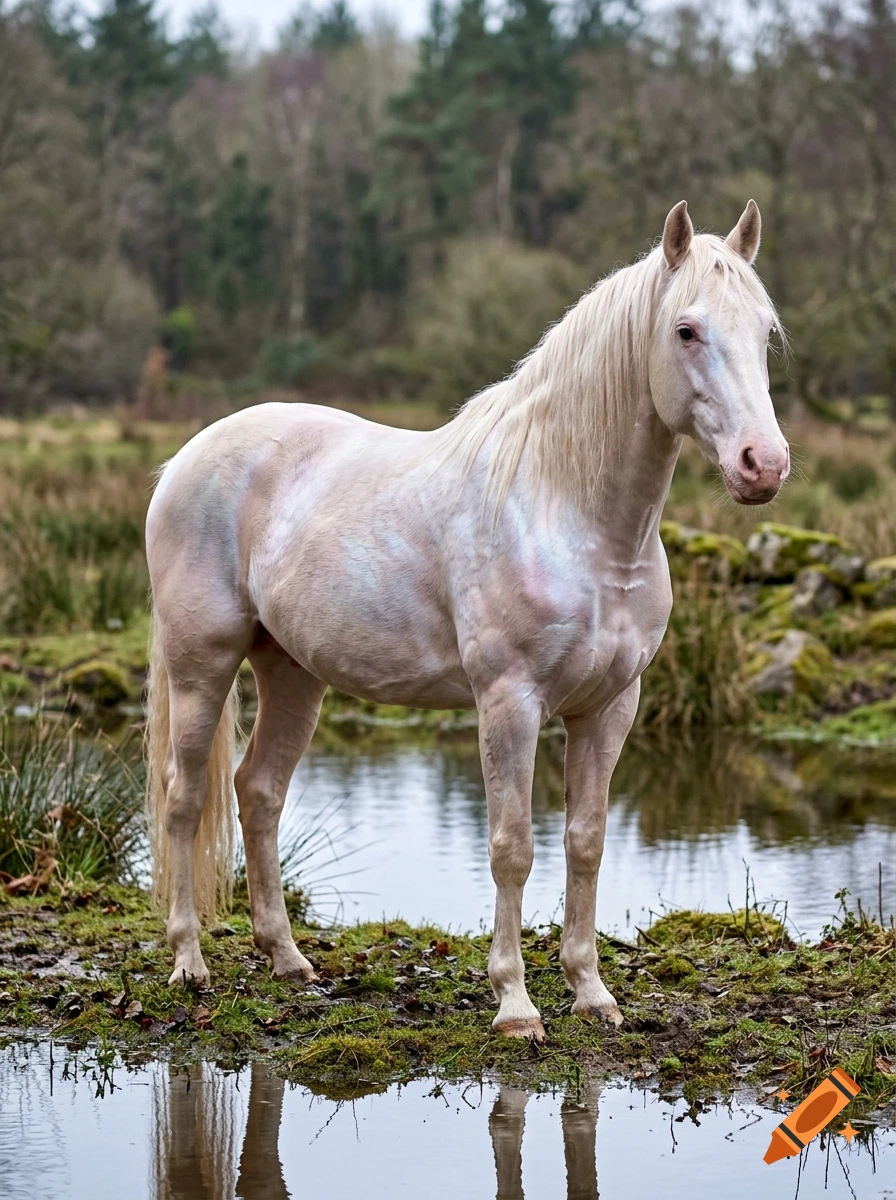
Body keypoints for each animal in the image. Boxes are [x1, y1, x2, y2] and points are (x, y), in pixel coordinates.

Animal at [145, 200, 789, 1042]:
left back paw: (288, 959)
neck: (568, 510)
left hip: (293, 673)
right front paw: (515, 1006)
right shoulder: (509, 703)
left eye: (766, 330)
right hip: (202, 667)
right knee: (186, 797)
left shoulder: (610, 707)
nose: (763, 465)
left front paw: (591, 993)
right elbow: (512, 847)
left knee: (258, 791)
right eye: (686, 330)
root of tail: (184, 458)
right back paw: (189, 964)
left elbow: (585, 842)